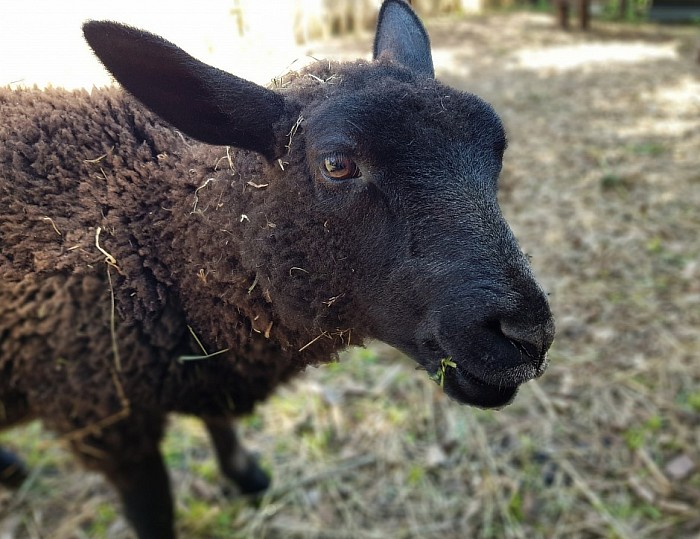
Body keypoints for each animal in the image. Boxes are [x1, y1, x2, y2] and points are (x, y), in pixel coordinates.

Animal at [1, 2, 556, 536]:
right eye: (336, 164)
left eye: (496, 149)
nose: (527, 336)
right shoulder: (106, 423)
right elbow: (154, 515)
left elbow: (219, 423)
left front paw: (245, 476)